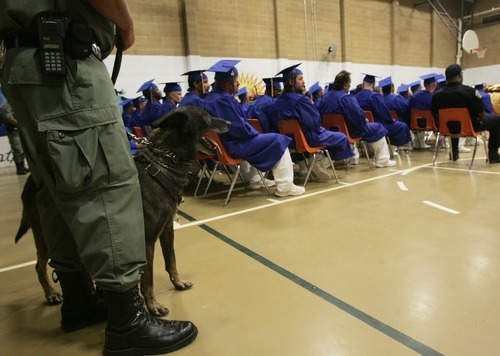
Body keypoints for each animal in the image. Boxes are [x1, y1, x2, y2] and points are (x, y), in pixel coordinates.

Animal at [15, 106, 230, 318]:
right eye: (205, 116)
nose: (228, 122)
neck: (161, 165)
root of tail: (31, 182)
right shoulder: (146, 240)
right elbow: (148, 278)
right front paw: (153, 306)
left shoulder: (167, 230)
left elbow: (171, 261)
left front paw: (177, 283)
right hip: (46, 235)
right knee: (39, 266)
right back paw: (51, 294)